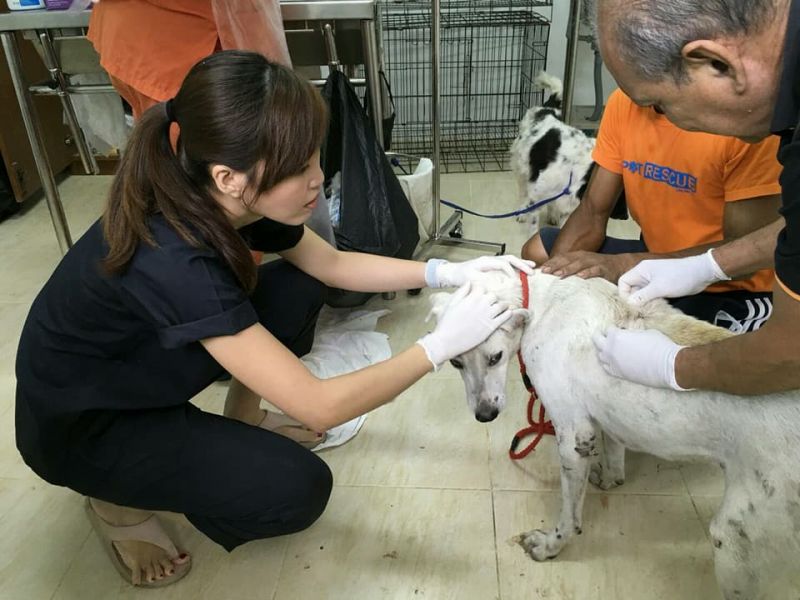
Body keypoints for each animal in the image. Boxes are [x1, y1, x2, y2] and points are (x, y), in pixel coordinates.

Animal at [432, 274, 800, 600]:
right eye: (454, 362)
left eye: (495, 357)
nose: (485, 416)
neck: (541, 302)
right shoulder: (604, 416)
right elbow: (614, 453)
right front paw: (610, 479)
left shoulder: (572, 433)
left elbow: (569, 515)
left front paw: (551, 545)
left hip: (736, 539)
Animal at [512, 74, 600, 233]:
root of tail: (548, 108)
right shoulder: (537, 197)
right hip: (521, 168)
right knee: (523, 191)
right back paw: (521, 212)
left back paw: (552, 215)